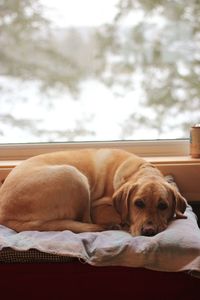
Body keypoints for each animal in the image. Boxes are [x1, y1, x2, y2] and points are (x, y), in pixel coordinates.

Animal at [0, 149, 187, 236]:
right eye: (138, 203)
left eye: (163, 206)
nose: (148, 231)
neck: (140, 169)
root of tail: (4, 214)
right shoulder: (98, 208)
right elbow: (120, 216)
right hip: (74, 175)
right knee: (86, 222)